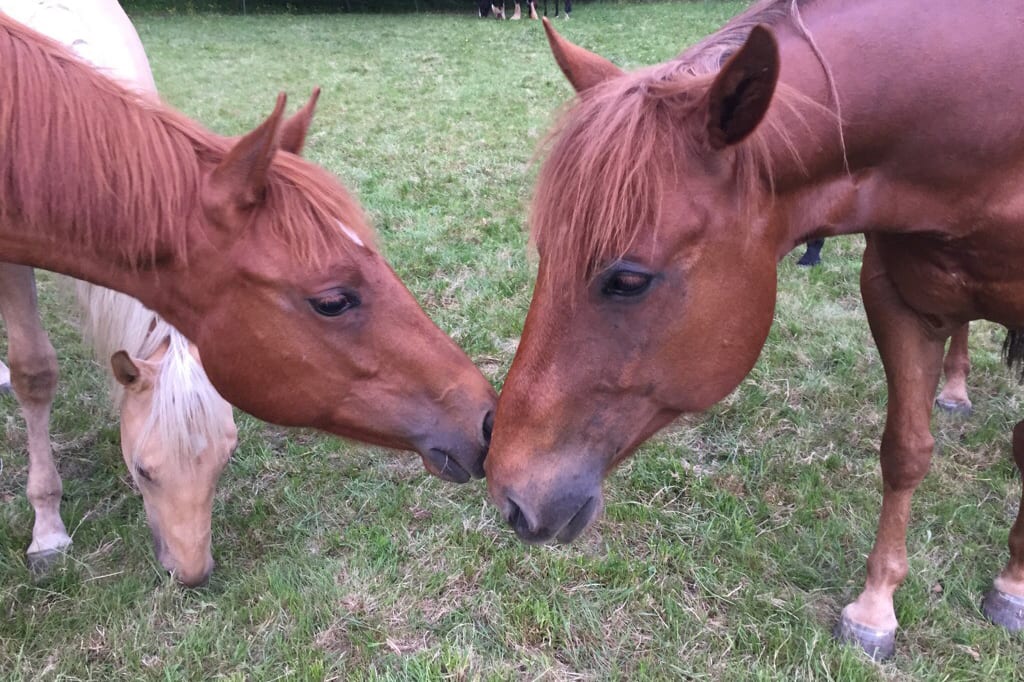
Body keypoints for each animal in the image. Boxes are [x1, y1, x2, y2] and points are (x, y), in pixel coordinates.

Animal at [486, 2, 1024, 660]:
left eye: (629, 280)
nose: (508, 493)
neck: (988, 132)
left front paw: (1012, 585)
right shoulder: (894, 297)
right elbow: (905, 451)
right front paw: (876, 607)